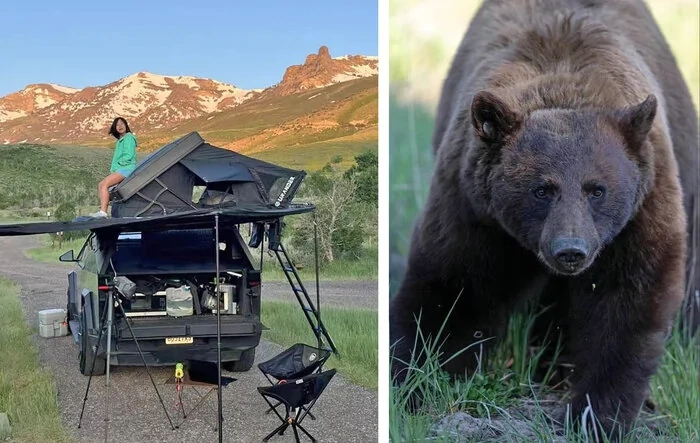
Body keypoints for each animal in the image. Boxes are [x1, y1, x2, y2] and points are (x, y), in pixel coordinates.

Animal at [389, 0, 699, 439]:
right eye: (542, 189)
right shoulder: (474, 211)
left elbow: (625, 302)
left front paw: (592, 416)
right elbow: (453, 287)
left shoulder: (641, 211)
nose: (570, 250)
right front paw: (414, 383)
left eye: (596, 189)